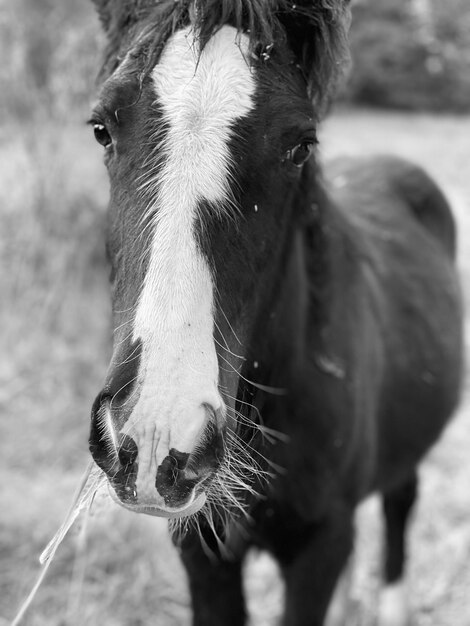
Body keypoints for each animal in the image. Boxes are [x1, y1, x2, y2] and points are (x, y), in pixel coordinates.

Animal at [87, 2, 462, 620]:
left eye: (301, 145)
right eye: (101, 128)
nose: (158, 432)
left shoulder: (318, 547)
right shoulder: (202, 549)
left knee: (399, 506)